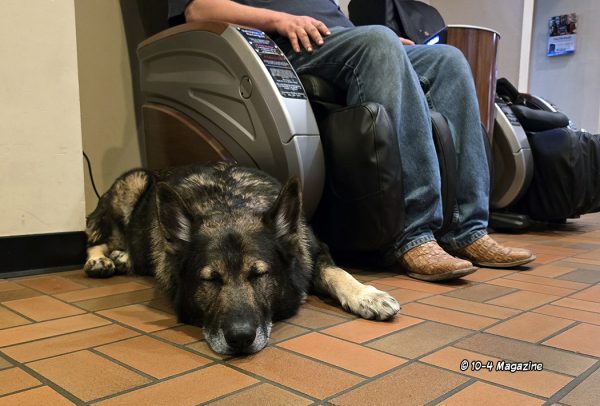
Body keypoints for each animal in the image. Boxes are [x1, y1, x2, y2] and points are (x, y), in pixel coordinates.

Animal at [84, 162, 400, 355]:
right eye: (210, 279)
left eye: (259, 274)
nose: (240, 339)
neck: (228, 203)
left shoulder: (314, 250)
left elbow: (338, 272)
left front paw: (367, 295)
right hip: (133, 184)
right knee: (97, 237)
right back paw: (102, 260)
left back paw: (121, 257)